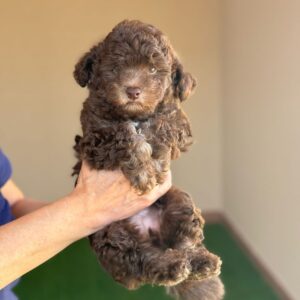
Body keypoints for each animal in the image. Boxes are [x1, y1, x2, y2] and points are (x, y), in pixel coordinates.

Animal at [72, 19, 224, 298]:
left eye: (153, 69)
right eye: (115, 68)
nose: (133, 90)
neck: (133, 114)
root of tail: (151, 232)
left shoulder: (180, 125)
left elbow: (163, 123)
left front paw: (152, 159)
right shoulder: (95, 138)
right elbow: (123, 133)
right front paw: (144, 171)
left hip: (178, 199)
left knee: (184, 240)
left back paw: (199, 262)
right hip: (112, 233)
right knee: (143, 260)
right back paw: (173, 266)